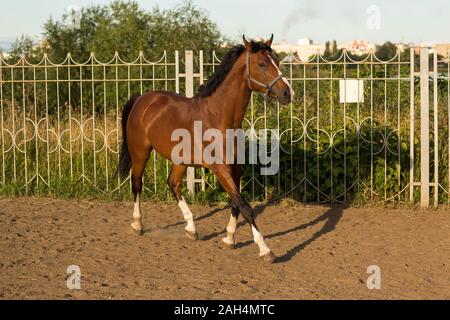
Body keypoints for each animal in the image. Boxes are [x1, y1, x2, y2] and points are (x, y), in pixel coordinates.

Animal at [118, 35, 294, 262]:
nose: (287, 93)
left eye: (278, 61)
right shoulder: (221, 170)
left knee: (173, 184)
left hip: (180, 160)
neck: (220, 118)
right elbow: (245, 207)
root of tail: (141, 99)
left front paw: (229, 238)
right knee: (137, 184)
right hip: (140, 152)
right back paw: (138, 224)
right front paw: (265, 250)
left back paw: (191, 229)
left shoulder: (236, 169)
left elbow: (236, 204)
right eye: (262, 64)